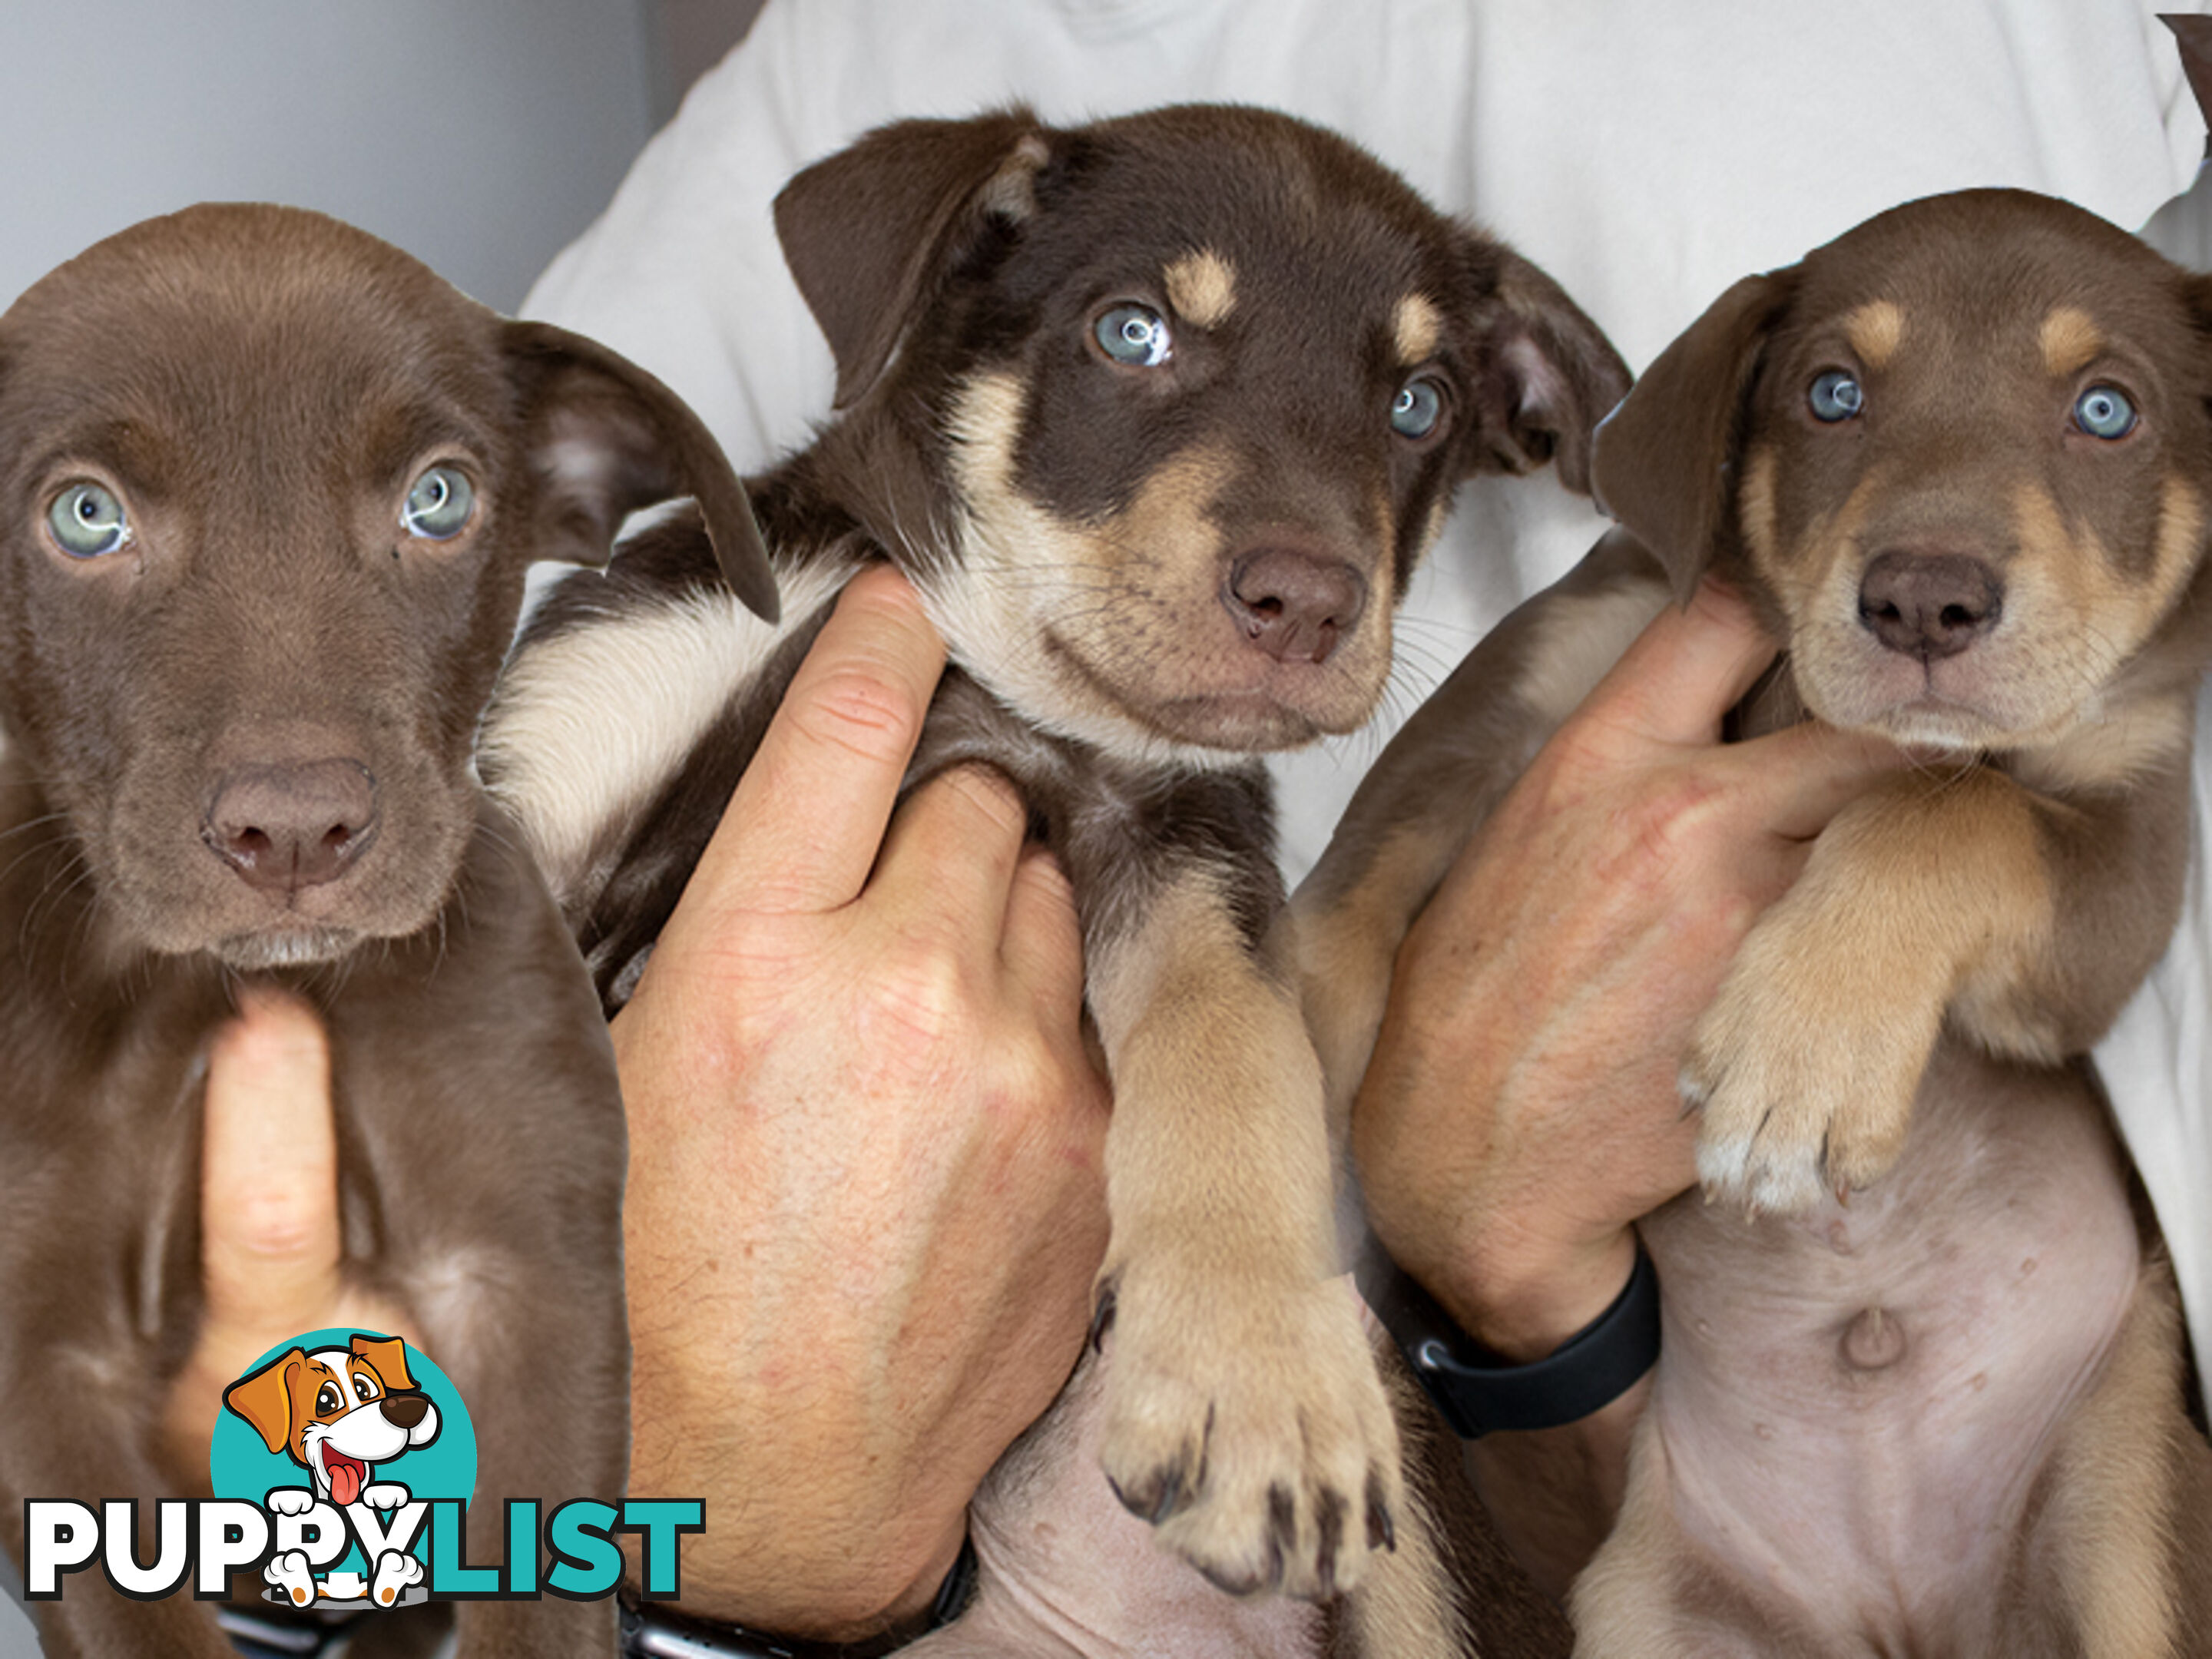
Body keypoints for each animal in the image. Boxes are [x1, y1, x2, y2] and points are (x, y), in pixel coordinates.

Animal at [0, 207, 778, 1659]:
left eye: (438, 499)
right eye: (84, 515)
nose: (297, 832)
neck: (244, 995)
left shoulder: (527, 1281)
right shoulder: (43, 1366)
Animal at [484, 101, 1628, 1628]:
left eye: (1419, 405)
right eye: (1131, 333)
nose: (1308, 603)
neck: (994, 671)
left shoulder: (1187, 844)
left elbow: (1231, 1053)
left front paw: (1255, 1372)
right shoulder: (574, 745)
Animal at [1291, 187, 2212, 1654]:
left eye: (2108, 411)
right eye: (1833, 394)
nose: (1925, 599)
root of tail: (1900, 1619)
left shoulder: (2119, 869)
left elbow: (1949, 807)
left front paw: (1800, 1061)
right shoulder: (1521, 695)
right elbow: (1331, 917)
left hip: (2123, 1487)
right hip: (1648, 1606)